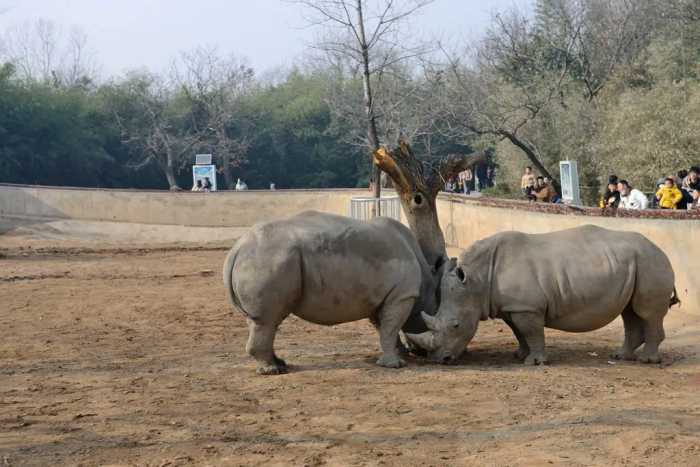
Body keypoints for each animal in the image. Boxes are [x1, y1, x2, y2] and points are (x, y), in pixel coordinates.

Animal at [223, 210, 438, 374]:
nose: (440, 359)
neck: (427, 290)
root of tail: (237, 248)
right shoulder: (402, 295)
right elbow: (391, 327)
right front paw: (396, 365)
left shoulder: (384, 297)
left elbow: (385, 327)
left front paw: (400, 353)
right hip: (267, 259)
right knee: (267, 320)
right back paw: (273, 371)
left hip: (263, 259)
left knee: (264, 321)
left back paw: (280, 364)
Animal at [408, 226, 680, 366]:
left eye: (455, 325)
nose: (439, 359)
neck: (477, 280)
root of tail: (661, 249)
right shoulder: (513, 306)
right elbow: (519, 332)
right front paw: (520, 356)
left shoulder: (526, 307)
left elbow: (532, 332)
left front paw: (535, 362)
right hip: (637, 263)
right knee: (630, 312)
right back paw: (620, 357)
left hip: (650, 262)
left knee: (647, 313)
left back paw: (647, 361)